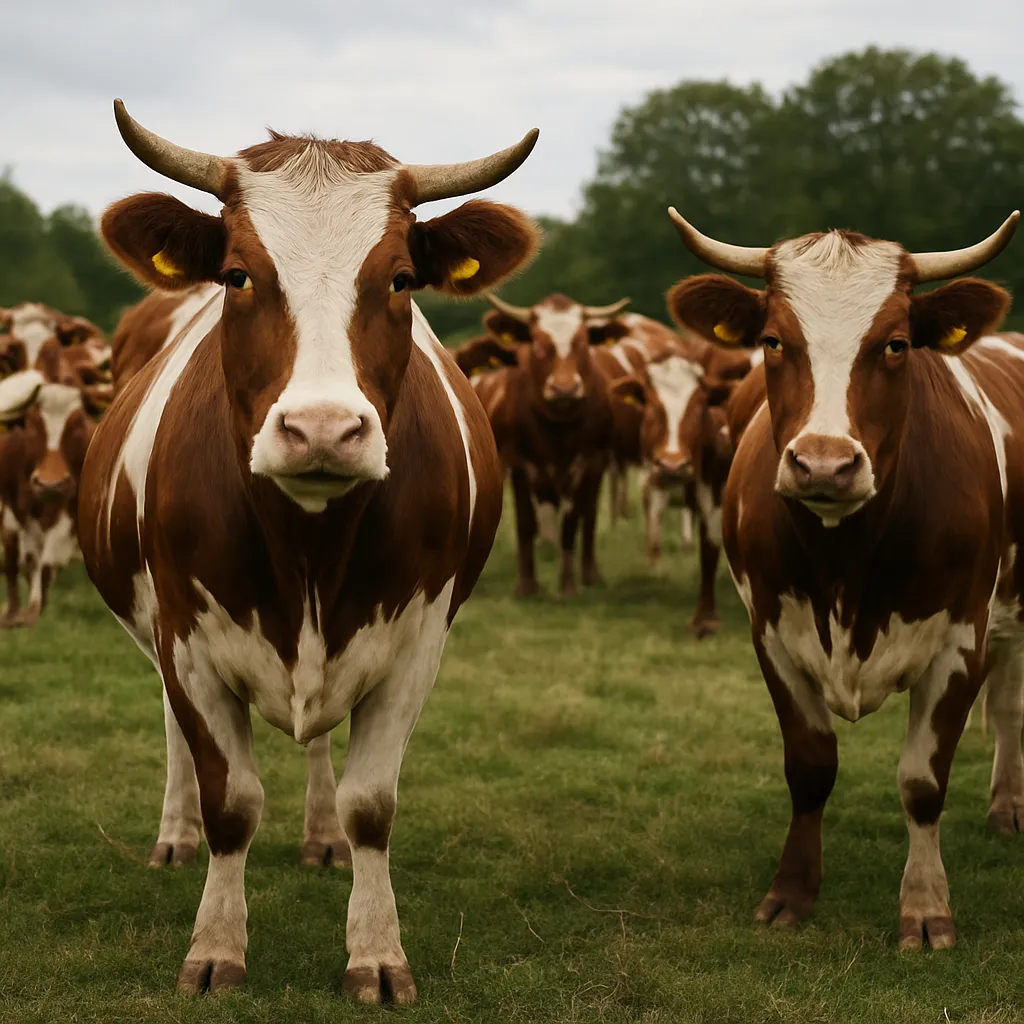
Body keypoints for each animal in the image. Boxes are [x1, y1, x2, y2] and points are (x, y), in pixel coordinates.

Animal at [77, 100, 538, 1001]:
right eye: (237, 275)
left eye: (400, 278)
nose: (322, 430)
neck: (309, 552)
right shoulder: (187, 641)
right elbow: (231, 801)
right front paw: (215, 946)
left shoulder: (415, 647)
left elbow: (371, 806)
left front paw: (377, 952)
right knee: (177, 735)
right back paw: (175, 835)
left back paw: (320, 836)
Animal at [454, 293, 631, 595]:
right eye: (537, 344)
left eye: (583, 343)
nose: (564, 389)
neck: (556, 428)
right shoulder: (518, 464)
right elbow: (526, 523)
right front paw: (527, 585)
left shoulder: (585, 462)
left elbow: (571, 523)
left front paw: (568, 585)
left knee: (589, 515)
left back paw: (591, 574)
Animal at [664, 204, 1022, 949]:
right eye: (772, 340)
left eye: (895, 344)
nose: (824, 465)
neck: (846, 568)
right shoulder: (772, 634)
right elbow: (810, 765)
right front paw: (792, 892)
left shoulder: (961, 640)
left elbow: (922, 781)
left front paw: (925, 907)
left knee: (1009, 705)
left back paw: (1008, 806)